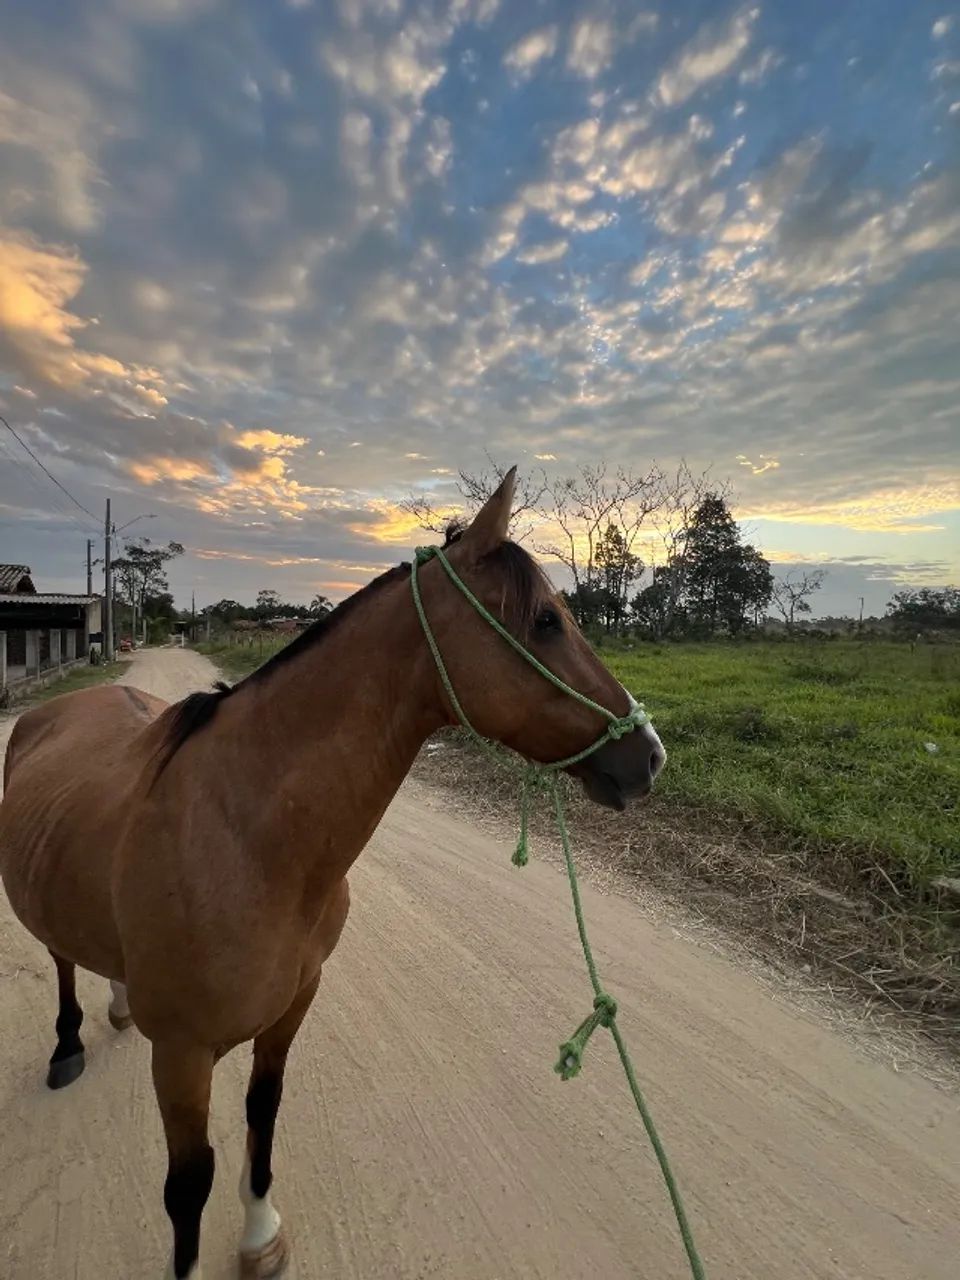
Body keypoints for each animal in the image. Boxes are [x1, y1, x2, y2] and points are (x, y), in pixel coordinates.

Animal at [0, 469, 665, 1278]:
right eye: (544, 620)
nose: (650, 756)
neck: (249, 840)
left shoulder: (292, 1009)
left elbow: (263, 1114)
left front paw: (260, 1233)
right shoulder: (182, 1057)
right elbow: (187, 1188)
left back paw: (121, 1001)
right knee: (60, 959)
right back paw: (66, 1046)